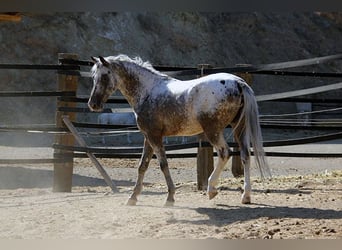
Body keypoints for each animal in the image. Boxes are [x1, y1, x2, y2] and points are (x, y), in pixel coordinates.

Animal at [87, 54, 270, 205]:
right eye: (93, 77)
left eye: (104, 75)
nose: (93, 104)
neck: (147, 91)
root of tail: (238, 83)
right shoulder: (148, 137)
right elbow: (142, 166)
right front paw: (132, 198)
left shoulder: (154, 137)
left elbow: (163, 164)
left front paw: (170, 198)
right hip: (239, 127)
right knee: (245, 155)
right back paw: (246, 196)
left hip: (213, 130)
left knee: (225, 152)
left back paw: (211, 190)